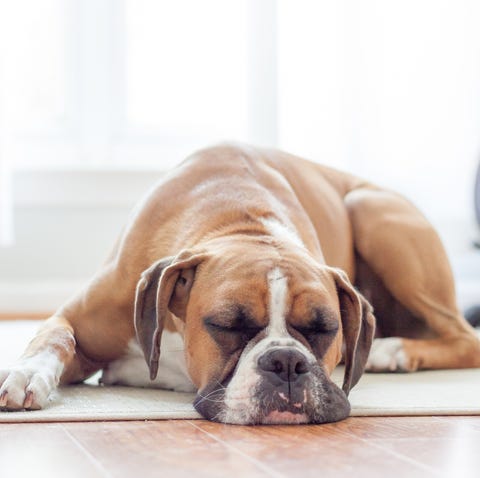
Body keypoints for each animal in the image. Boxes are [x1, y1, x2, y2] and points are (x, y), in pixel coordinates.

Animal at [0, 144, 480, 424]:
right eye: (227, 325)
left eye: (325, 329)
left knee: (465, 337)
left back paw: (391, 350)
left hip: (371, 211)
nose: (287, 362)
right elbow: (54, 335)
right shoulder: (79, 319)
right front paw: (27, 374)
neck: (244, 222)